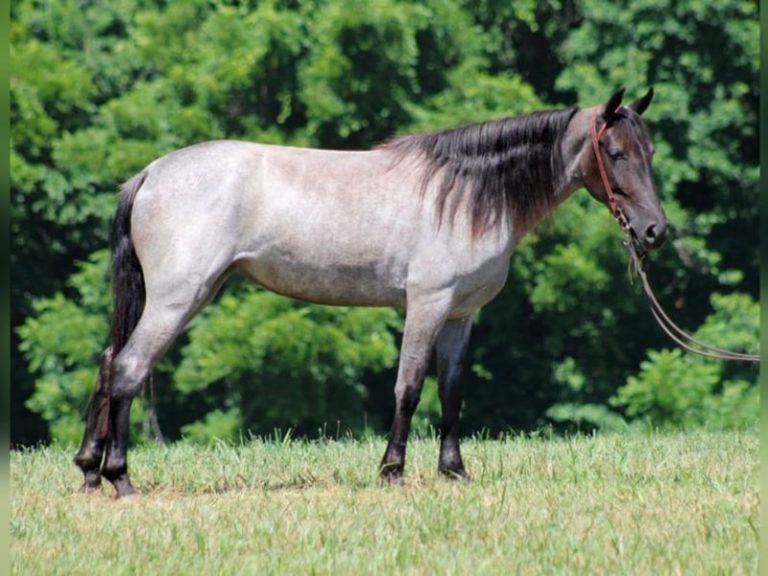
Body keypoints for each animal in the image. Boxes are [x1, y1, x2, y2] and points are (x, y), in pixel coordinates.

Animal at [73, 87, 666, 496]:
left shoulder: (460, 317)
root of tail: (151, 174)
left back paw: (88, 470)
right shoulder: (427, 304)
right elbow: (409, 387)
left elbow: (452, 392)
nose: (655, 232)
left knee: (108, 362)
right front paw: (393, 471)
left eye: (650, 151)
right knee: (128, 369)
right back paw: (120, 478)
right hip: (178, 298)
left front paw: (454, 471)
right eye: (615, 153)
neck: (467, 195)